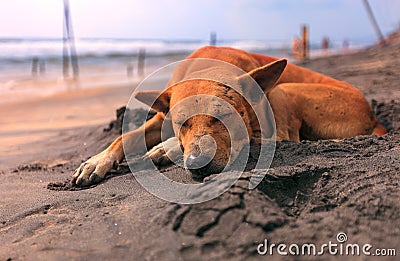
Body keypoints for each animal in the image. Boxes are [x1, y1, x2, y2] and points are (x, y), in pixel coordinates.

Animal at [70, 46, 386, 185]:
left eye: (224, 116)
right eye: (180, 122)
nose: (197, 164)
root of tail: (374, 116)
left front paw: (166, 147)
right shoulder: (162, 115)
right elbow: (126, 136)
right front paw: (96, 161)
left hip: (285, 91)